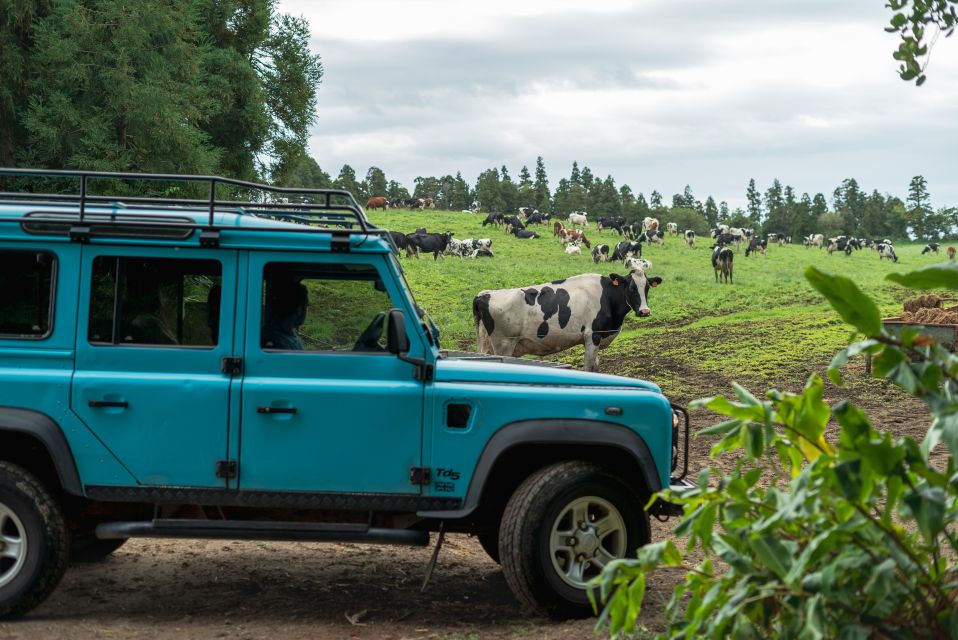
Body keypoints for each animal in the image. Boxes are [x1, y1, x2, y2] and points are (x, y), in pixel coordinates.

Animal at [474, 268, 668, 370]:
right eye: (631, 288)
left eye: (647, 288)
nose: (645, 311)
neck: (607, 296)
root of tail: (484, 294)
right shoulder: (592, 336)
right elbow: (589, 367)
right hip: (504, 344)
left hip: (486, 344)